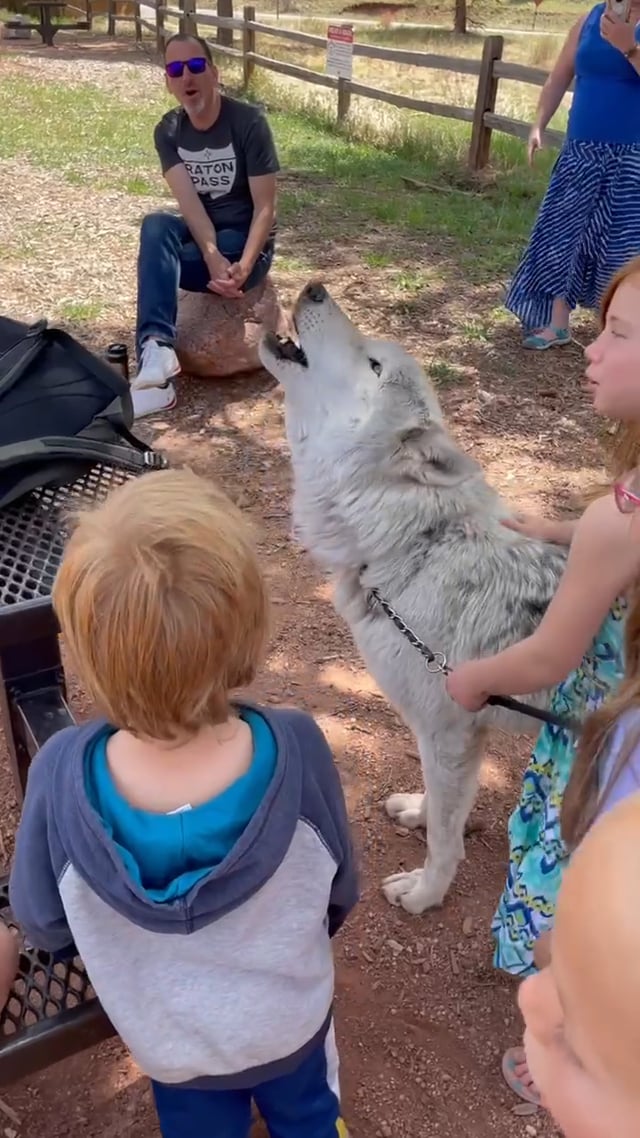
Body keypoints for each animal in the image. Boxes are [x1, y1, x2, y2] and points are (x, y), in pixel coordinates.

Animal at [256, 282, 564, 914]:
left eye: (374, 364)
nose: (315, 287)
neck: (416, 546)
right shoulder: (450, 739)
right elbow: (443, 805)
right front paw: (417, 814)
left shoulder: (449, 732)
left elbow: (447, 837)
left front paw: (425, 894)